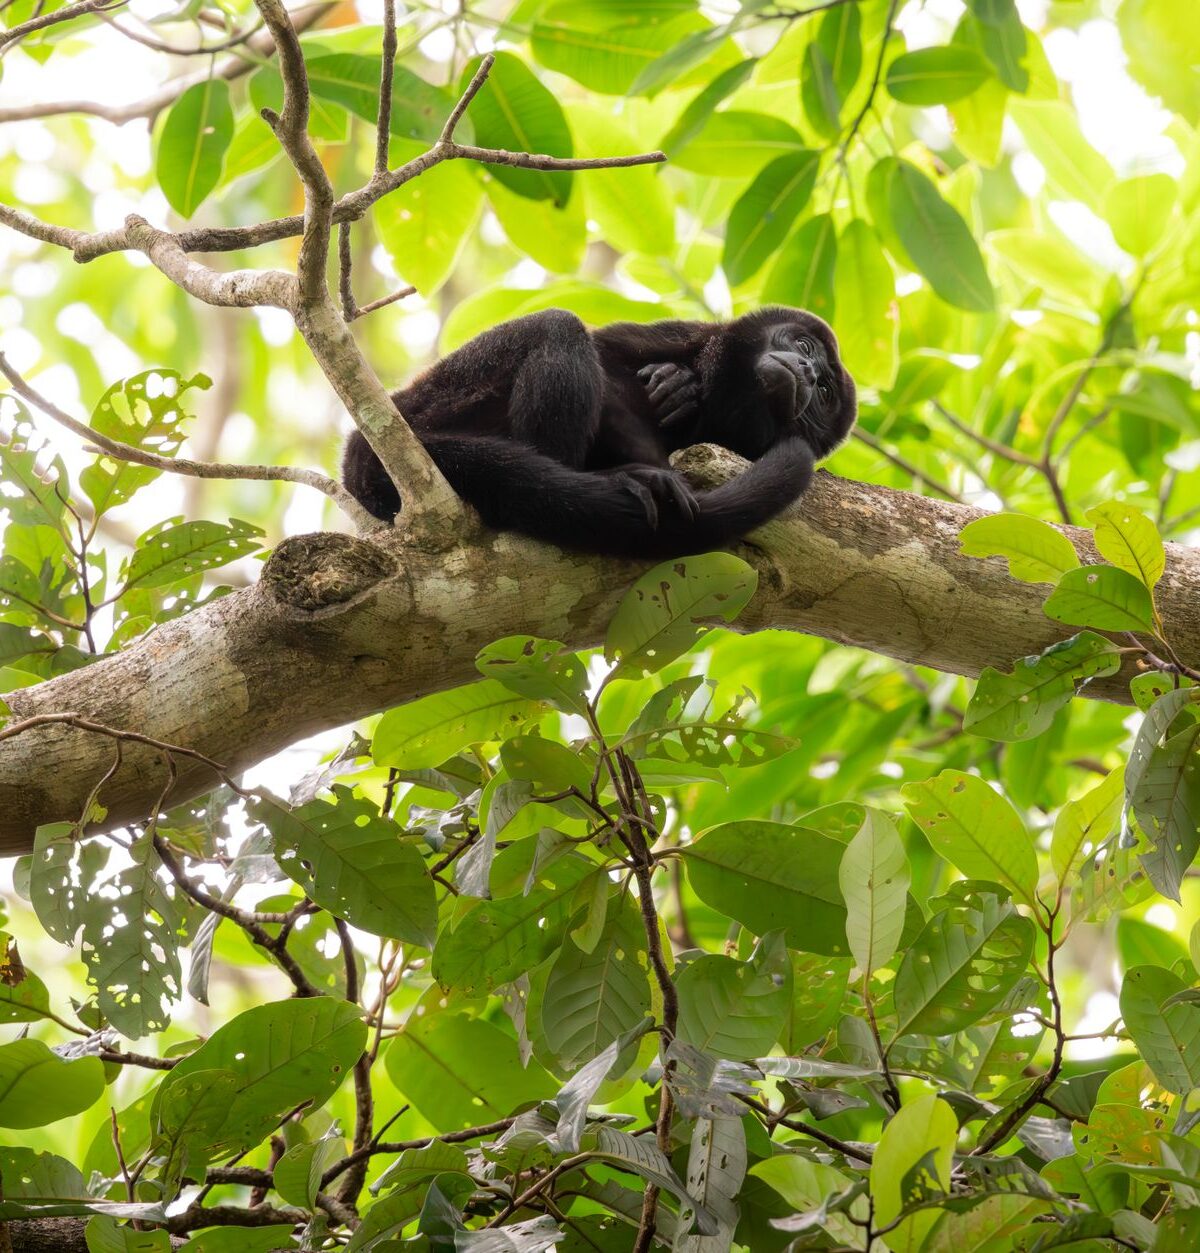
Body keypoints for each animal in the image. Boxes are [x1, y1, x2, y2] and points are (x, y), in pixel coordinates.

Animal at [341, 305, 856, 559]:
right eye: (804, 346)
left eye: (824, 391)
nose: (808, 371)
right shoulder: (678, 333)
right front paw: (677, 388)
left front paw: (679, 393)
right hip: (436, 398)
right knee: (558, 326)